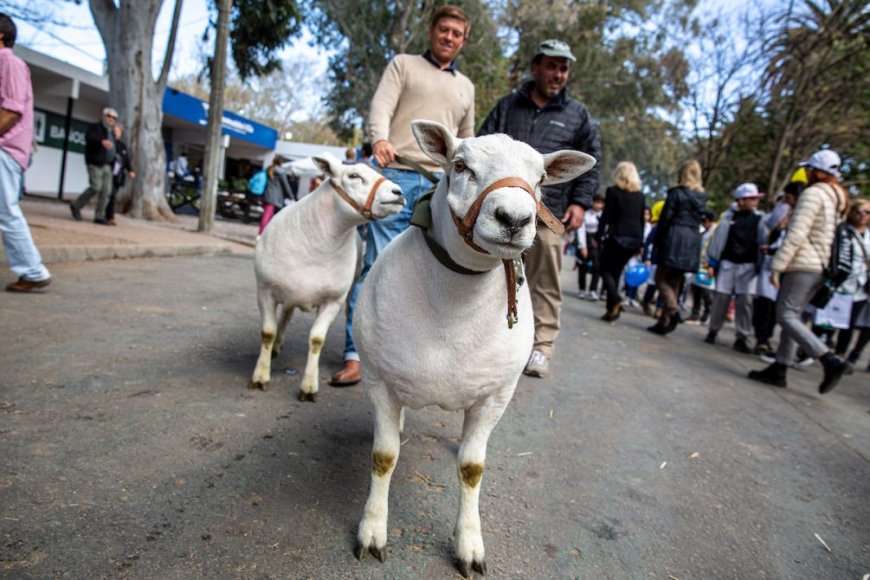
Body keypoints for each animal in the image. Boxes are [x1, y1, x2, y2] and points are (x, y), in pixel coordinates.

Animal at [249, 153, 406, 398]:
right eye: (354, 175)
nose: (398, 193)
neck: (318, 245)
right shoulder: (265, 291)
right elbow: (267, 332)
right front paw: (260, 376)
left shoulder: (333, 300)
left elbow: (316, 340)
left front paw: (309, 386)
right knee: (285, 316)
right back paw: (276, 347)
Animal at [354, 121, 592, 576]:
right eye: (460, 166)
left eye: (541, 180)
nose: (514, 218)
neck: (453, 311)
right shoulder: (379, 382)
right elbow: (383, 457)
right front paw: (372, 530)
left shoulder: (495, 396)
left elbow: (471, 467)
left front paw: (469, 544)